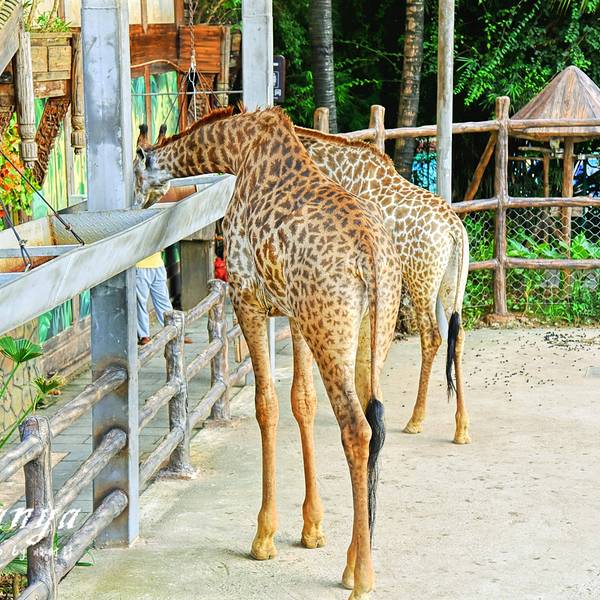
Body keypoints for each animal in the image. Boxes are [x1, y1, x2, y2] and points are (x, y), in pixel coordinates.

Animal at [133, 107, 403, 600]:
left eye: (136, 168)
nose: (139, 199)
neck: (238, 148)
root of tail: (371, 258)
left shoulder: (247, 298)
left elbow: (266, 405)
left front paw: (263, 537)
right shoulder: (295, 314)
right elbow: (301, 400)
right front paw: (312, 529)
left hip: (331, 329)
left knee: (356, 428)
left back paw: (361, 578)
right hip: (371, 330)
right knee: (376, 421)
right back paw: (354, 559)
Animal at [295, 126, 471, 445]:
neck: (340, 170)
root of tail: (455, 231)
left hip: (420, 280)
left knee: (431, 336)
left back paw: (416, 420)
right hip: (453, 282)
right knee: (458, 335)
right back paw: (462, 428)